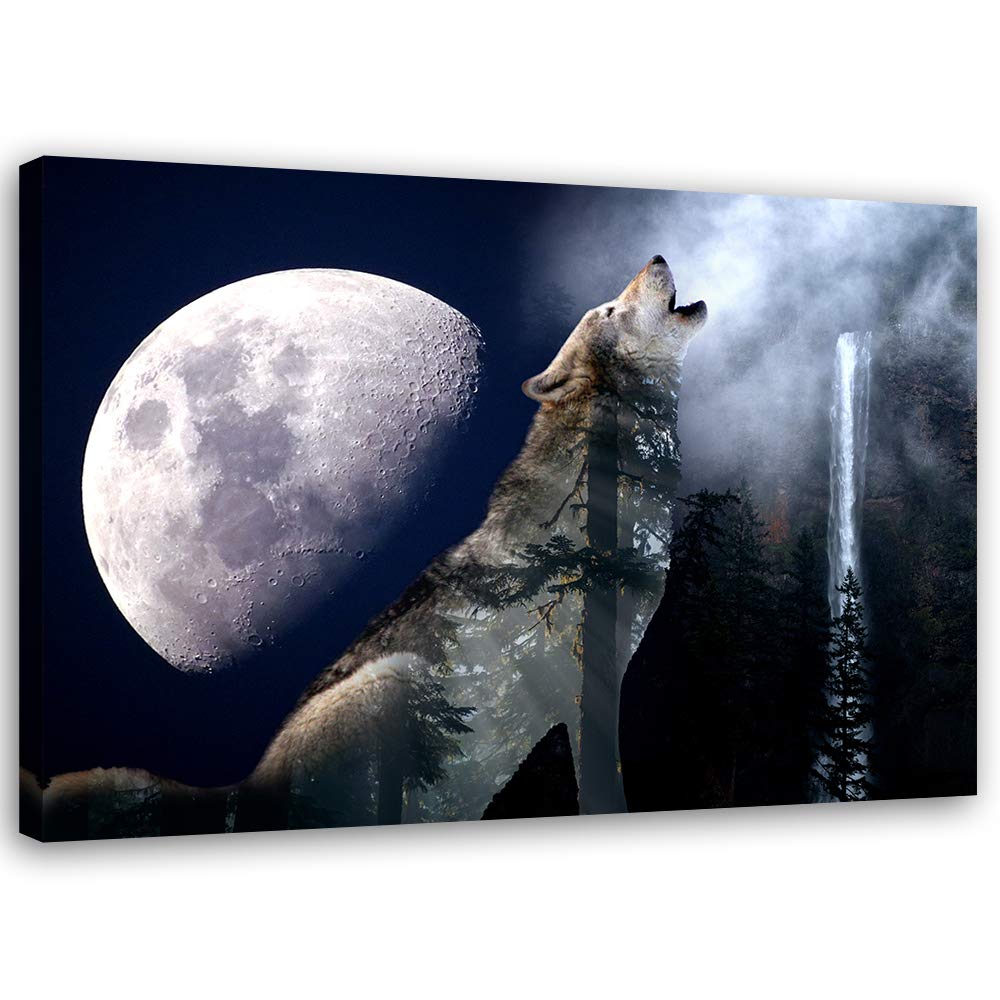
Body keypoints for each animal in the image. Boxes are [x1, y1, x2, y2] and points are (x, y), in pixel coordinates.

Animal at [33, 256, 706, 838]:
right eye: (610, 310)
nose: (656, 257)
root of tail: (244, 788)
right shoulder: (587, 683)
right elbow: (606, 792)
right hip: (397, 684)